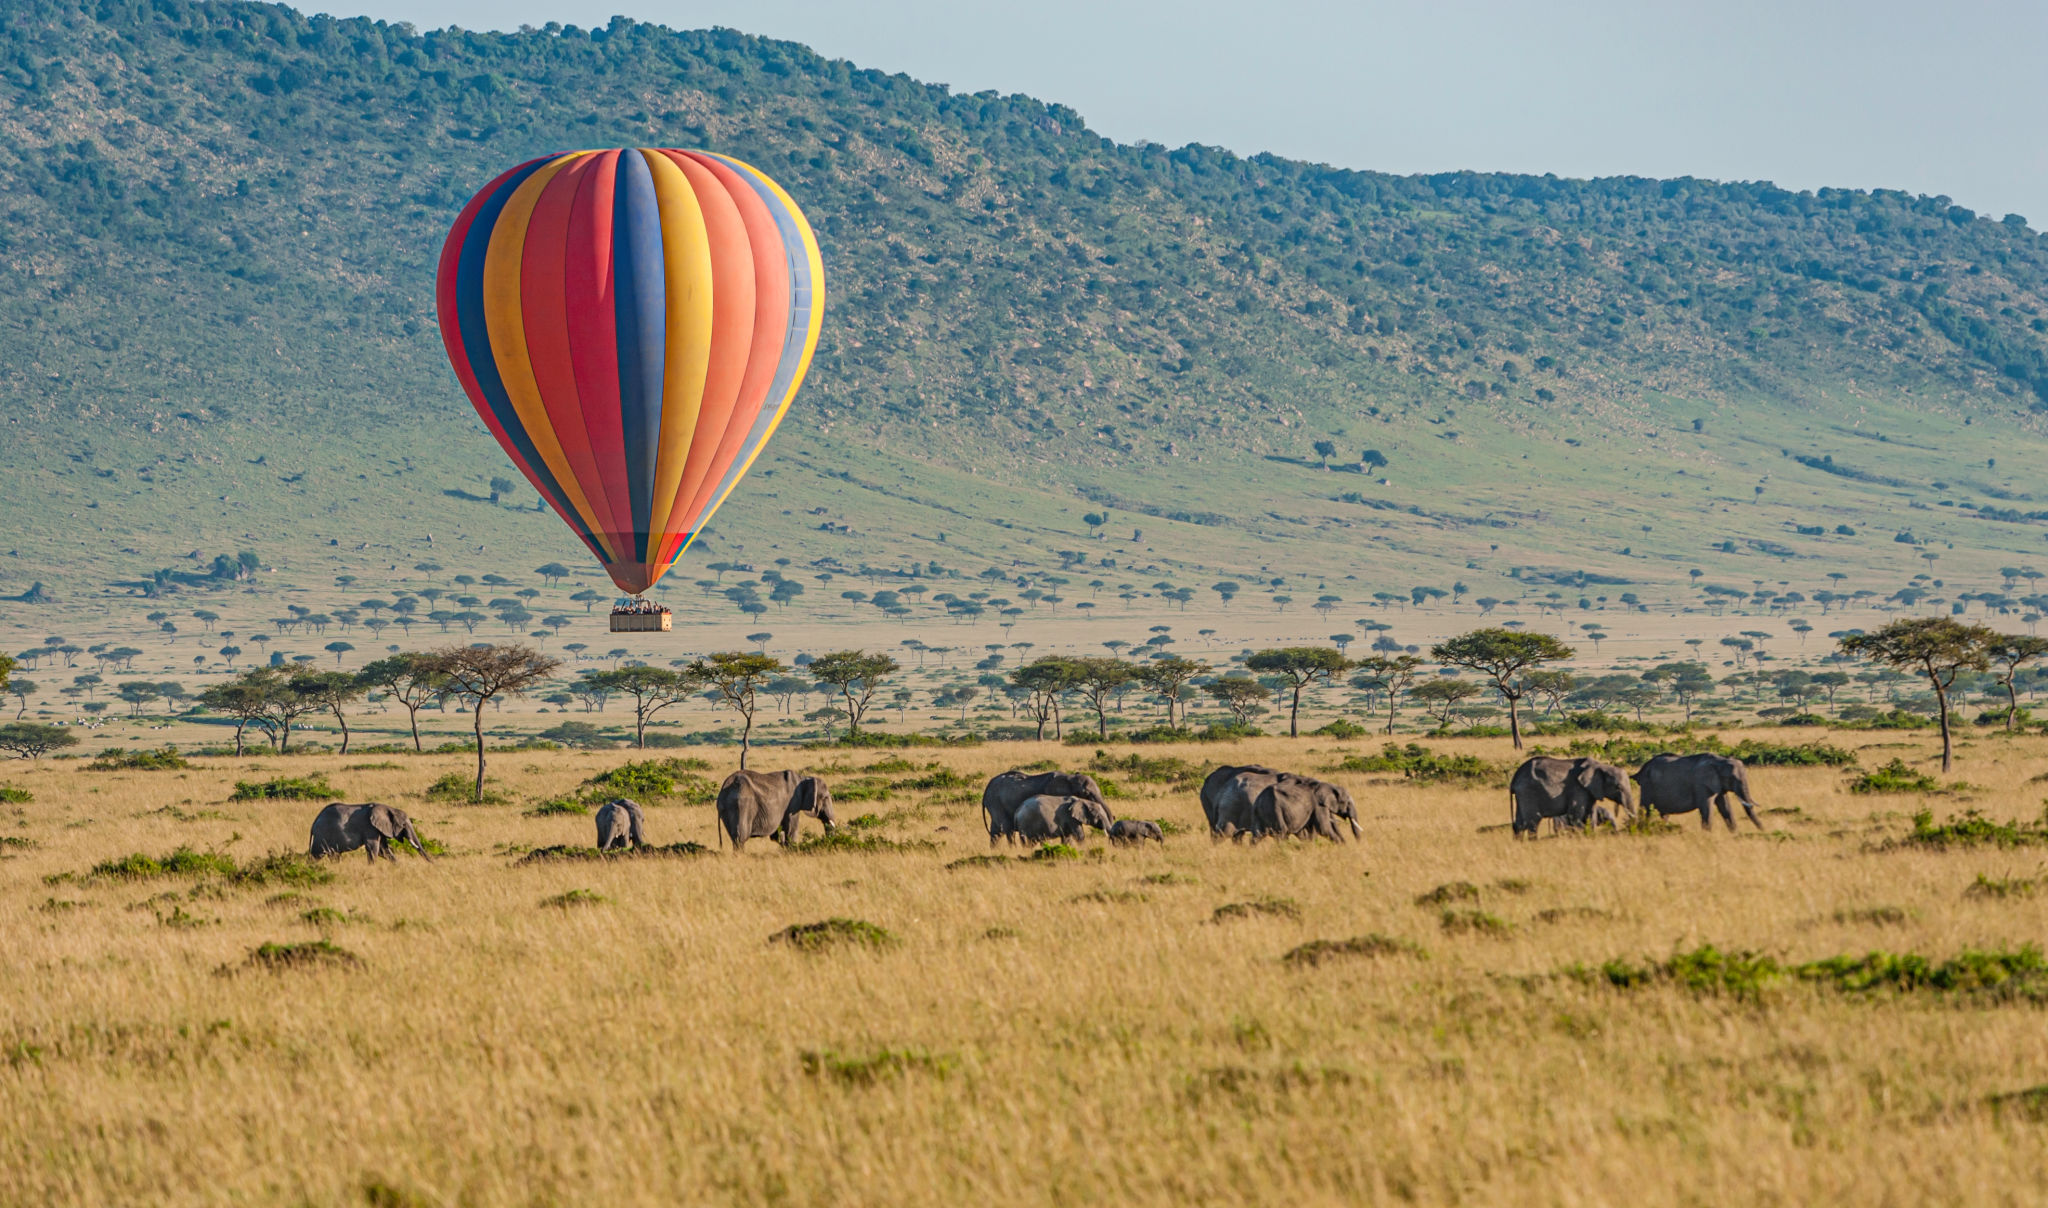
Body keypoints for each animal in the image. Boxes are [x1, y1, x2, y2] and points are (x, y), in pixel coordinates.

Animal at [1633, 753, 1763, 831]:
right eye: (1732, 778)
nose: (1763, 831)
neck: (1720, 761)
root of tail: (1642, 769)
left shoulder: (1717, 784)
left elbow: (1726, 808)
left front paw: (1734, 833)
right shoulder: (1701, 785)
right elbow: (1706, 809)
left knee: (1663, 815)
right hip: (1647, 786)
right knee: (1646, 809)